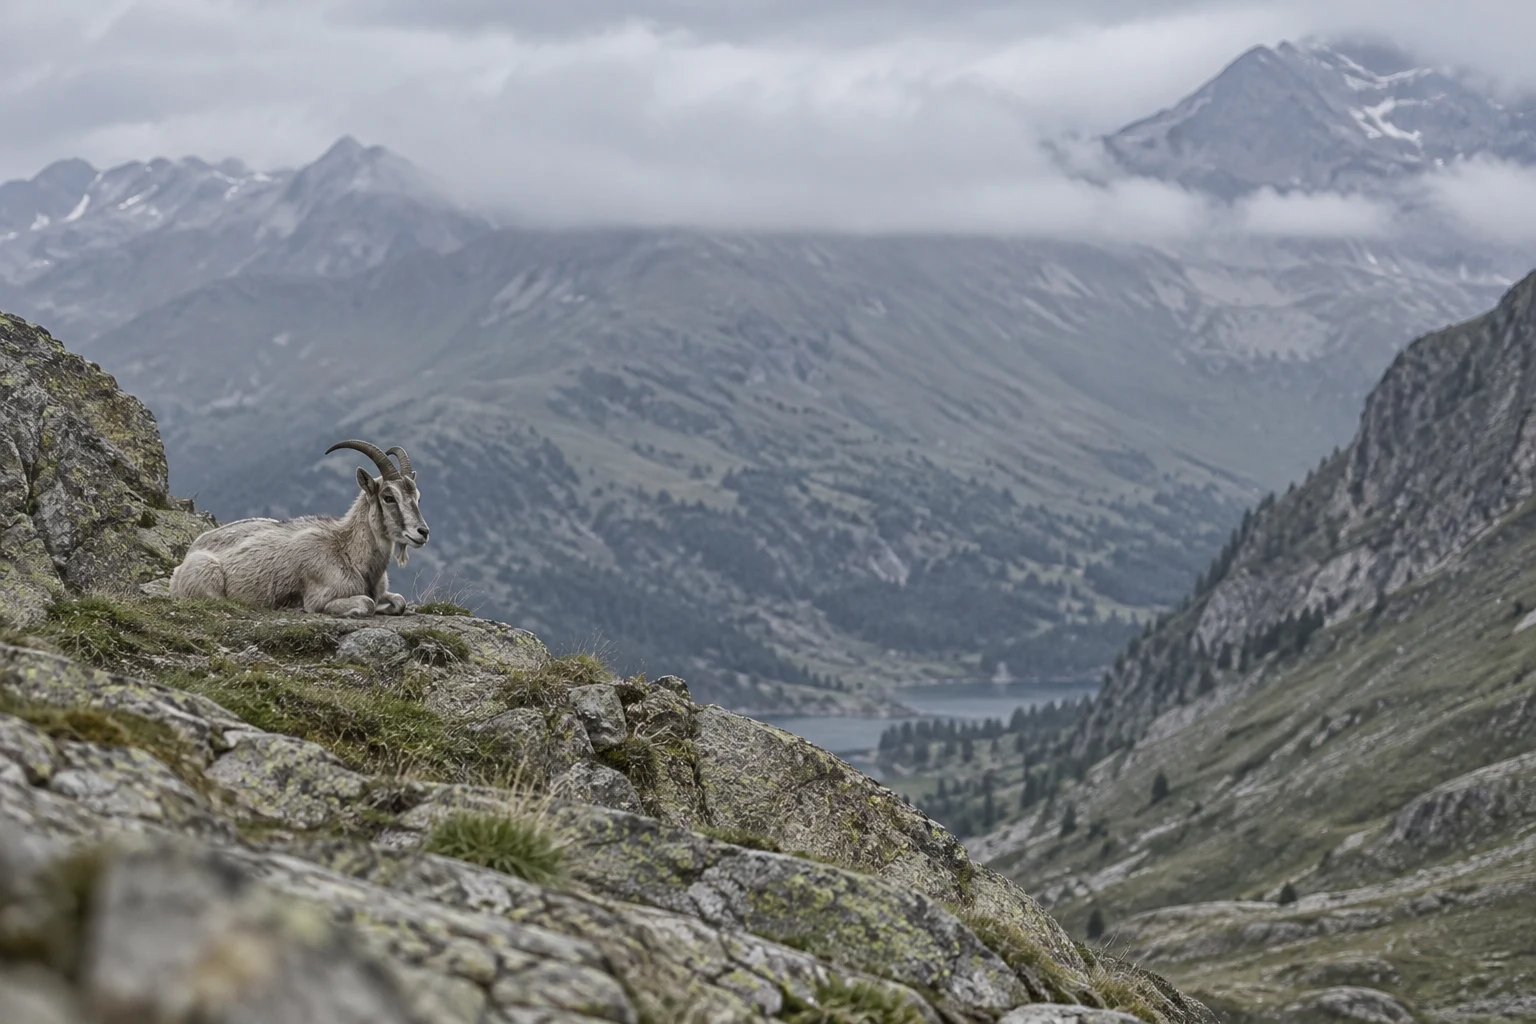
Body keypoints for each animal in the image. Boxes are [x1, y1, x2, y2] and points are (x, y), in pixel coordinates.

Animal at [169, 440, 431, 617]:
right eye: (388, 497)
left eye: (417, 497)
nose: (423, 532)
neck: (347, 551)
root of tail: (181, 565)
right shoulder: (319, 597)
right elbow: (366, 603)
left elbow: (399, 601)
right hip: (207, 576)